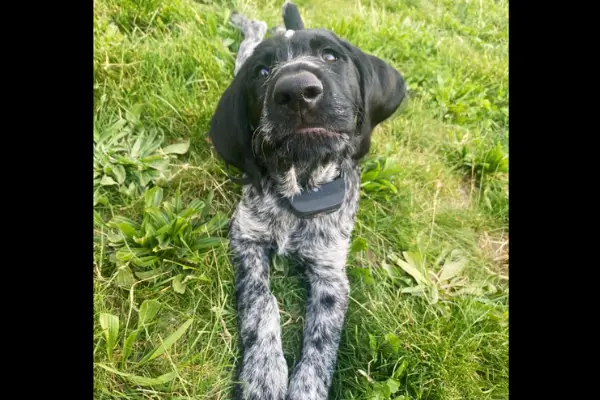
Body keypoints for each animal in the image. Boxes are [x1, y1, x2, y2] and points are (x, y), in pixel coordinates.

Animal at [209, 1, 406, 398]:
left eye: (330, 56)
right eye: (263, 72)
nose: (297, 90)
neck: (300, 186)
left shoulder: (331, 275)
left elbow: (322, 341)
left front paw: (305, 388)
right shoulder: (246, 238)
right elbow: (261, 303)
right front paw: (264, 373)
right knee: (254, 30)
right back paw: (243, 20)